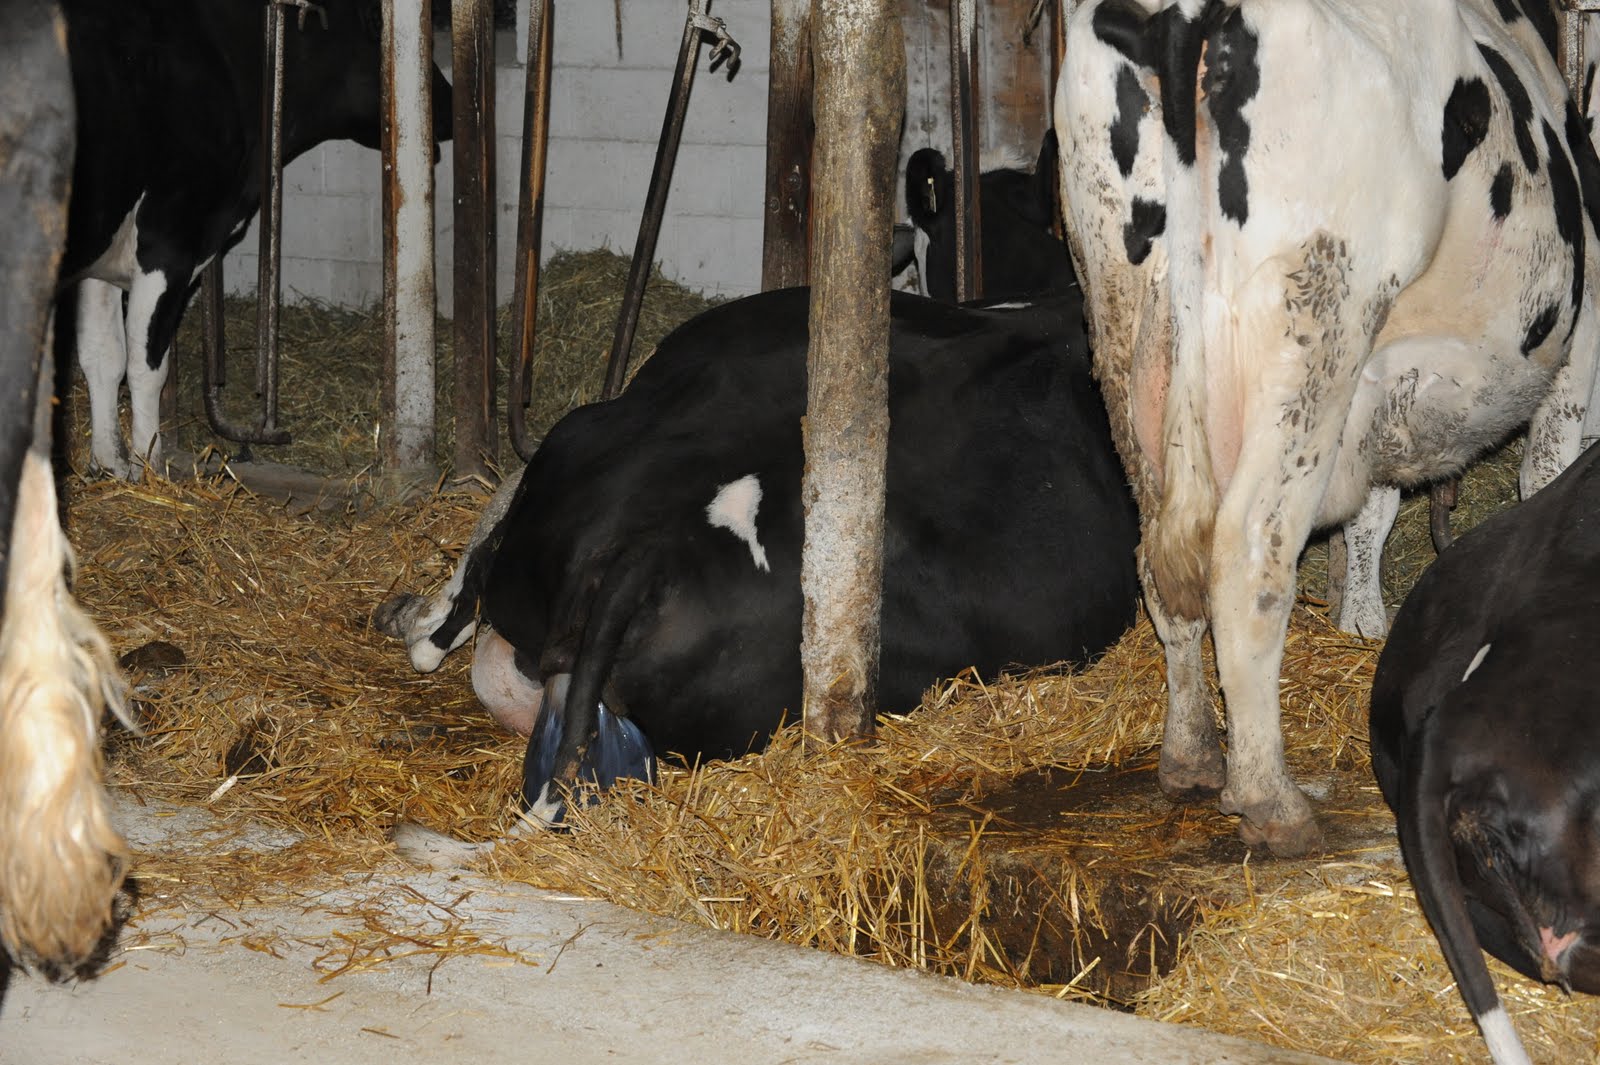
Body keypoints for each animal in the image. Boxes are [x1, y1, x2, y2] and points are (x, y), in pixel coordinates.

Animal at [57, 0, 453, 479]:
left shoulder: (105, 255)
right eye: (377, 28)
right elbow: (145, 366)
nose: (448, 105)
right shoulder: (172, 239)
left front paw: (110, 464)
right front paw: (150, 465)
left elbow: (102, 356)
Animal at [1055, 0, 1600, 858]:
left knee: (1158, 554)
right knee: (1248, 556)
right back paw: (1272, 799)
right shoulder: (1580, 337)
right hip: (1318, 322)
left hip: (1125, 322)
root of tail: (1184, 14)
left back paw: (1190, 756)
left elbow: (1374, 510)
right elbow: (1543, 474)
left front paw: (1362, 619)